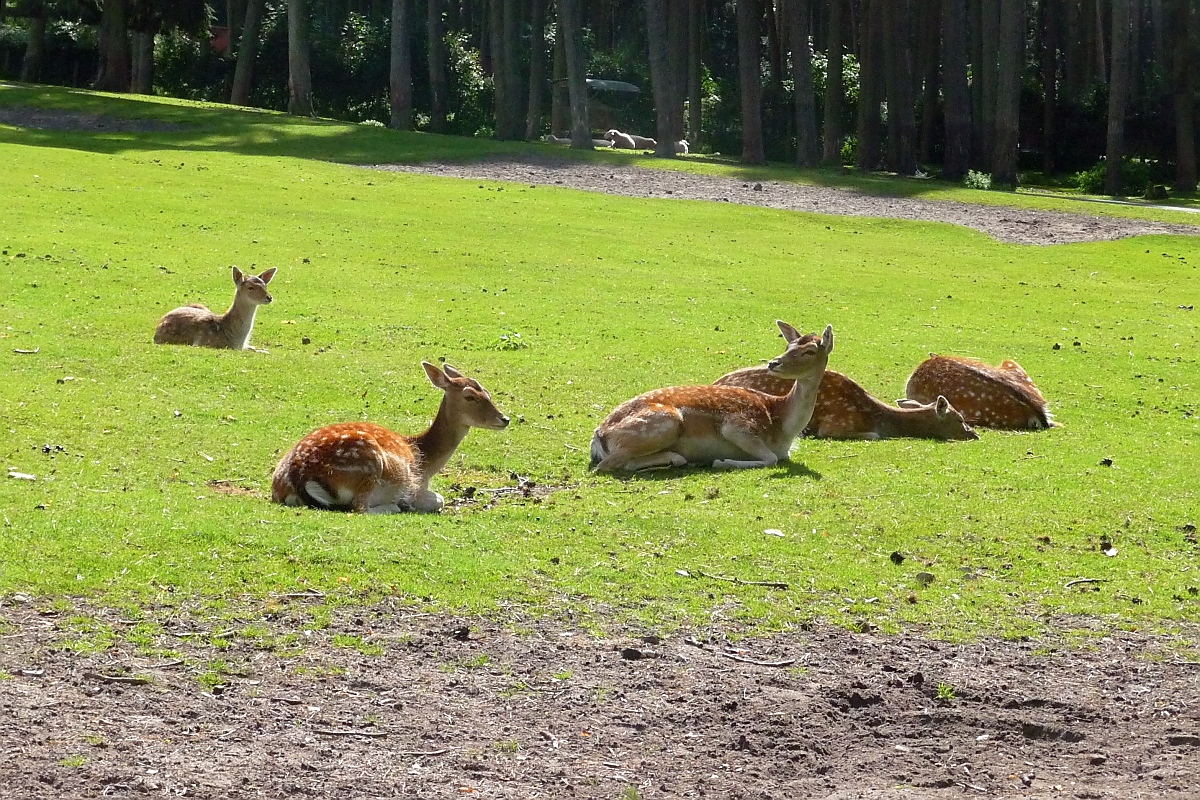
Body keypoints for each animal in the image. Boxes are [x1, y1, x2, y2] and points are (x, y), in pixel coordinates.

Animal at [272, 362, 511, 513]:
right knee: (360, 507)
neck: (425, 460)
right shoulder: (416, 487)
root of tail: (299, 477)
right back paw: (397, 506)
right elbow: (439, 499)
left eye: (488, 393)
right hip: (370, 465)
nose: (505, 419)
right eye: (469, 396)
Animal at [590, 321, 835, 472]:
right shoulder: (738, 425)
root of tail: (598, 437)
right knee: (609, 465)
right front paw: (722, 461)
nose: (774, 363)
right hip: (666, 423)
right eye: (788, 345)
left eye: (810, 351)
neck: (782, 427)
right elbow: (771, 459)